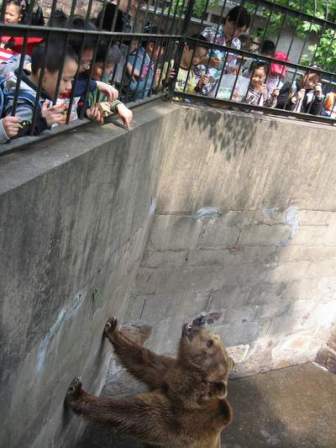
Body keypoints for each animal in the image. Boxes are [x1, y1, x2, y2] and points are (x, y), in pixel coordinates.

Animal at [65, 316, 234, 448]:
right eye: (213, 337)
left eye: (210, 342)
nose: (197, 322)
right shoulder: (165, 374)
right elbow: (143, 360)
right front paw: (112, 328)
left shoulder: (180, 421)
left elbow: (136, 413)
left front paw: (77, 392)